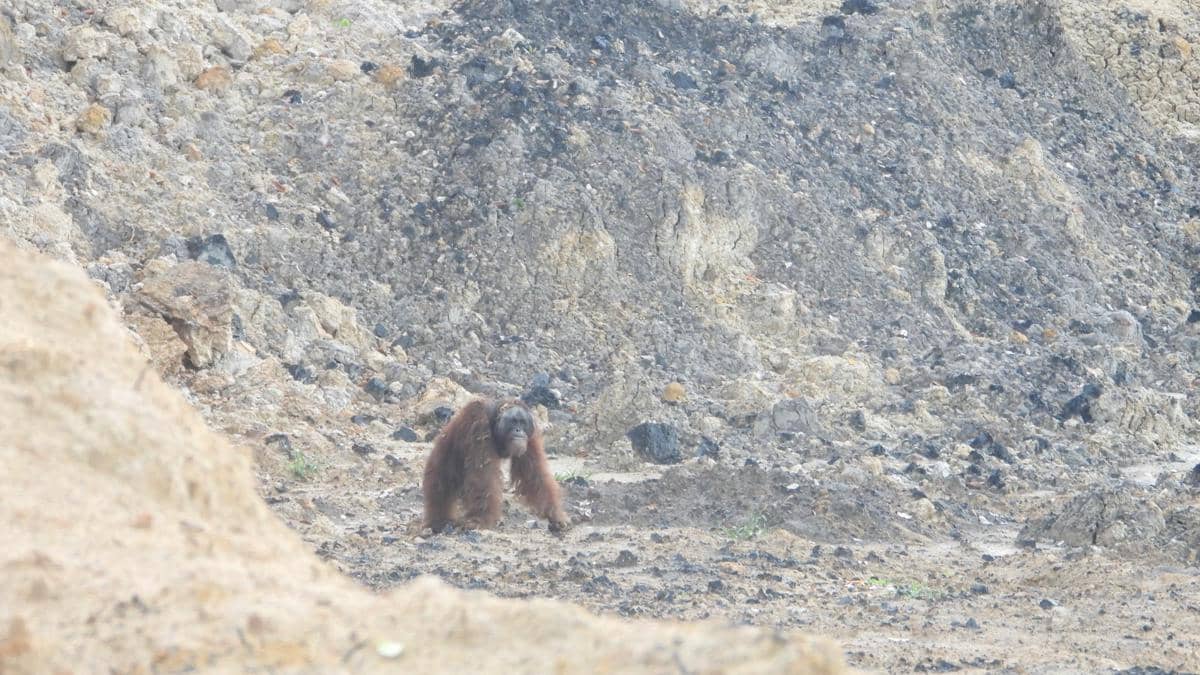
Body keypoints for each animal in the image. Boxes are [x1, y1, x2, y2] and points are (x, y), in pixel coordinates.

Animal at [421, 398, 569, 534]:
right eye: (514, 421)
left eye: (522, 422)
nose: (519, 430)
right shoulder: (480, 423)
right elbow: (482, 475)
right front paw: (479, 521)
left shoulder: (531, 436)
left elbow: (534, 474)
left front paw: (556, 517)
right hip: (438, 466)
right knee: (439, 488)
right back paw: (438, 521)